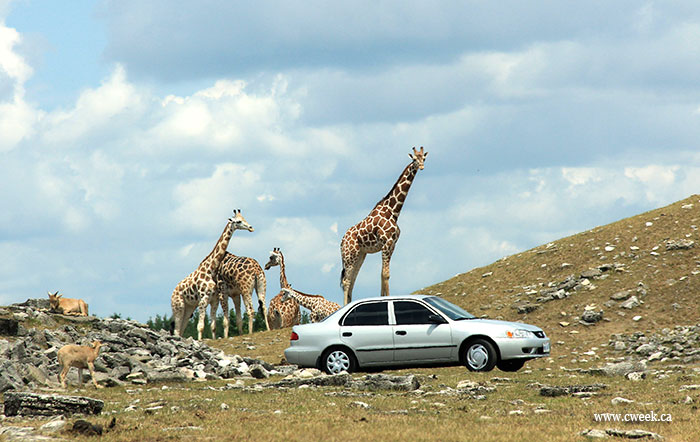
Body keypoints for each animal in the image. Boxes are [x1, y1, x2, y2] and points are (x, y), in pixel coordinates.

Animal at [170, 209, 253, 339]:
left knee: (181, 328)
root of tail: (172, 294)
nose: (250, 227)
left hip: (189, 307)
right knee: (177, 330)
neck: (210, 269)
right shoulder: (203, 299)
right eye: (238, 221)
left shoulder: (214, 300)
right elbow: (200, 326)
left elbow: (213, 326)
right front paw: (199, 341)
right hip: (178, 306)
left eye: (244, 218)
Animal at [340, 146, 428, 305]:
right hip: (350, 255)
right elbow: (385, 274)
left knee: (353, 280)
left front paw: (383, 298)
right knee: (346, 281)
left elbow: (383, 274)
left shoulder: (392, 244)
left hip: (361, 255)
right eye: (414, 159)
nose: (422, 166)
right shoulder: (386, 243)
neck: (393, 211)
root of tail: (342, 242)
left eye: (423, 158)